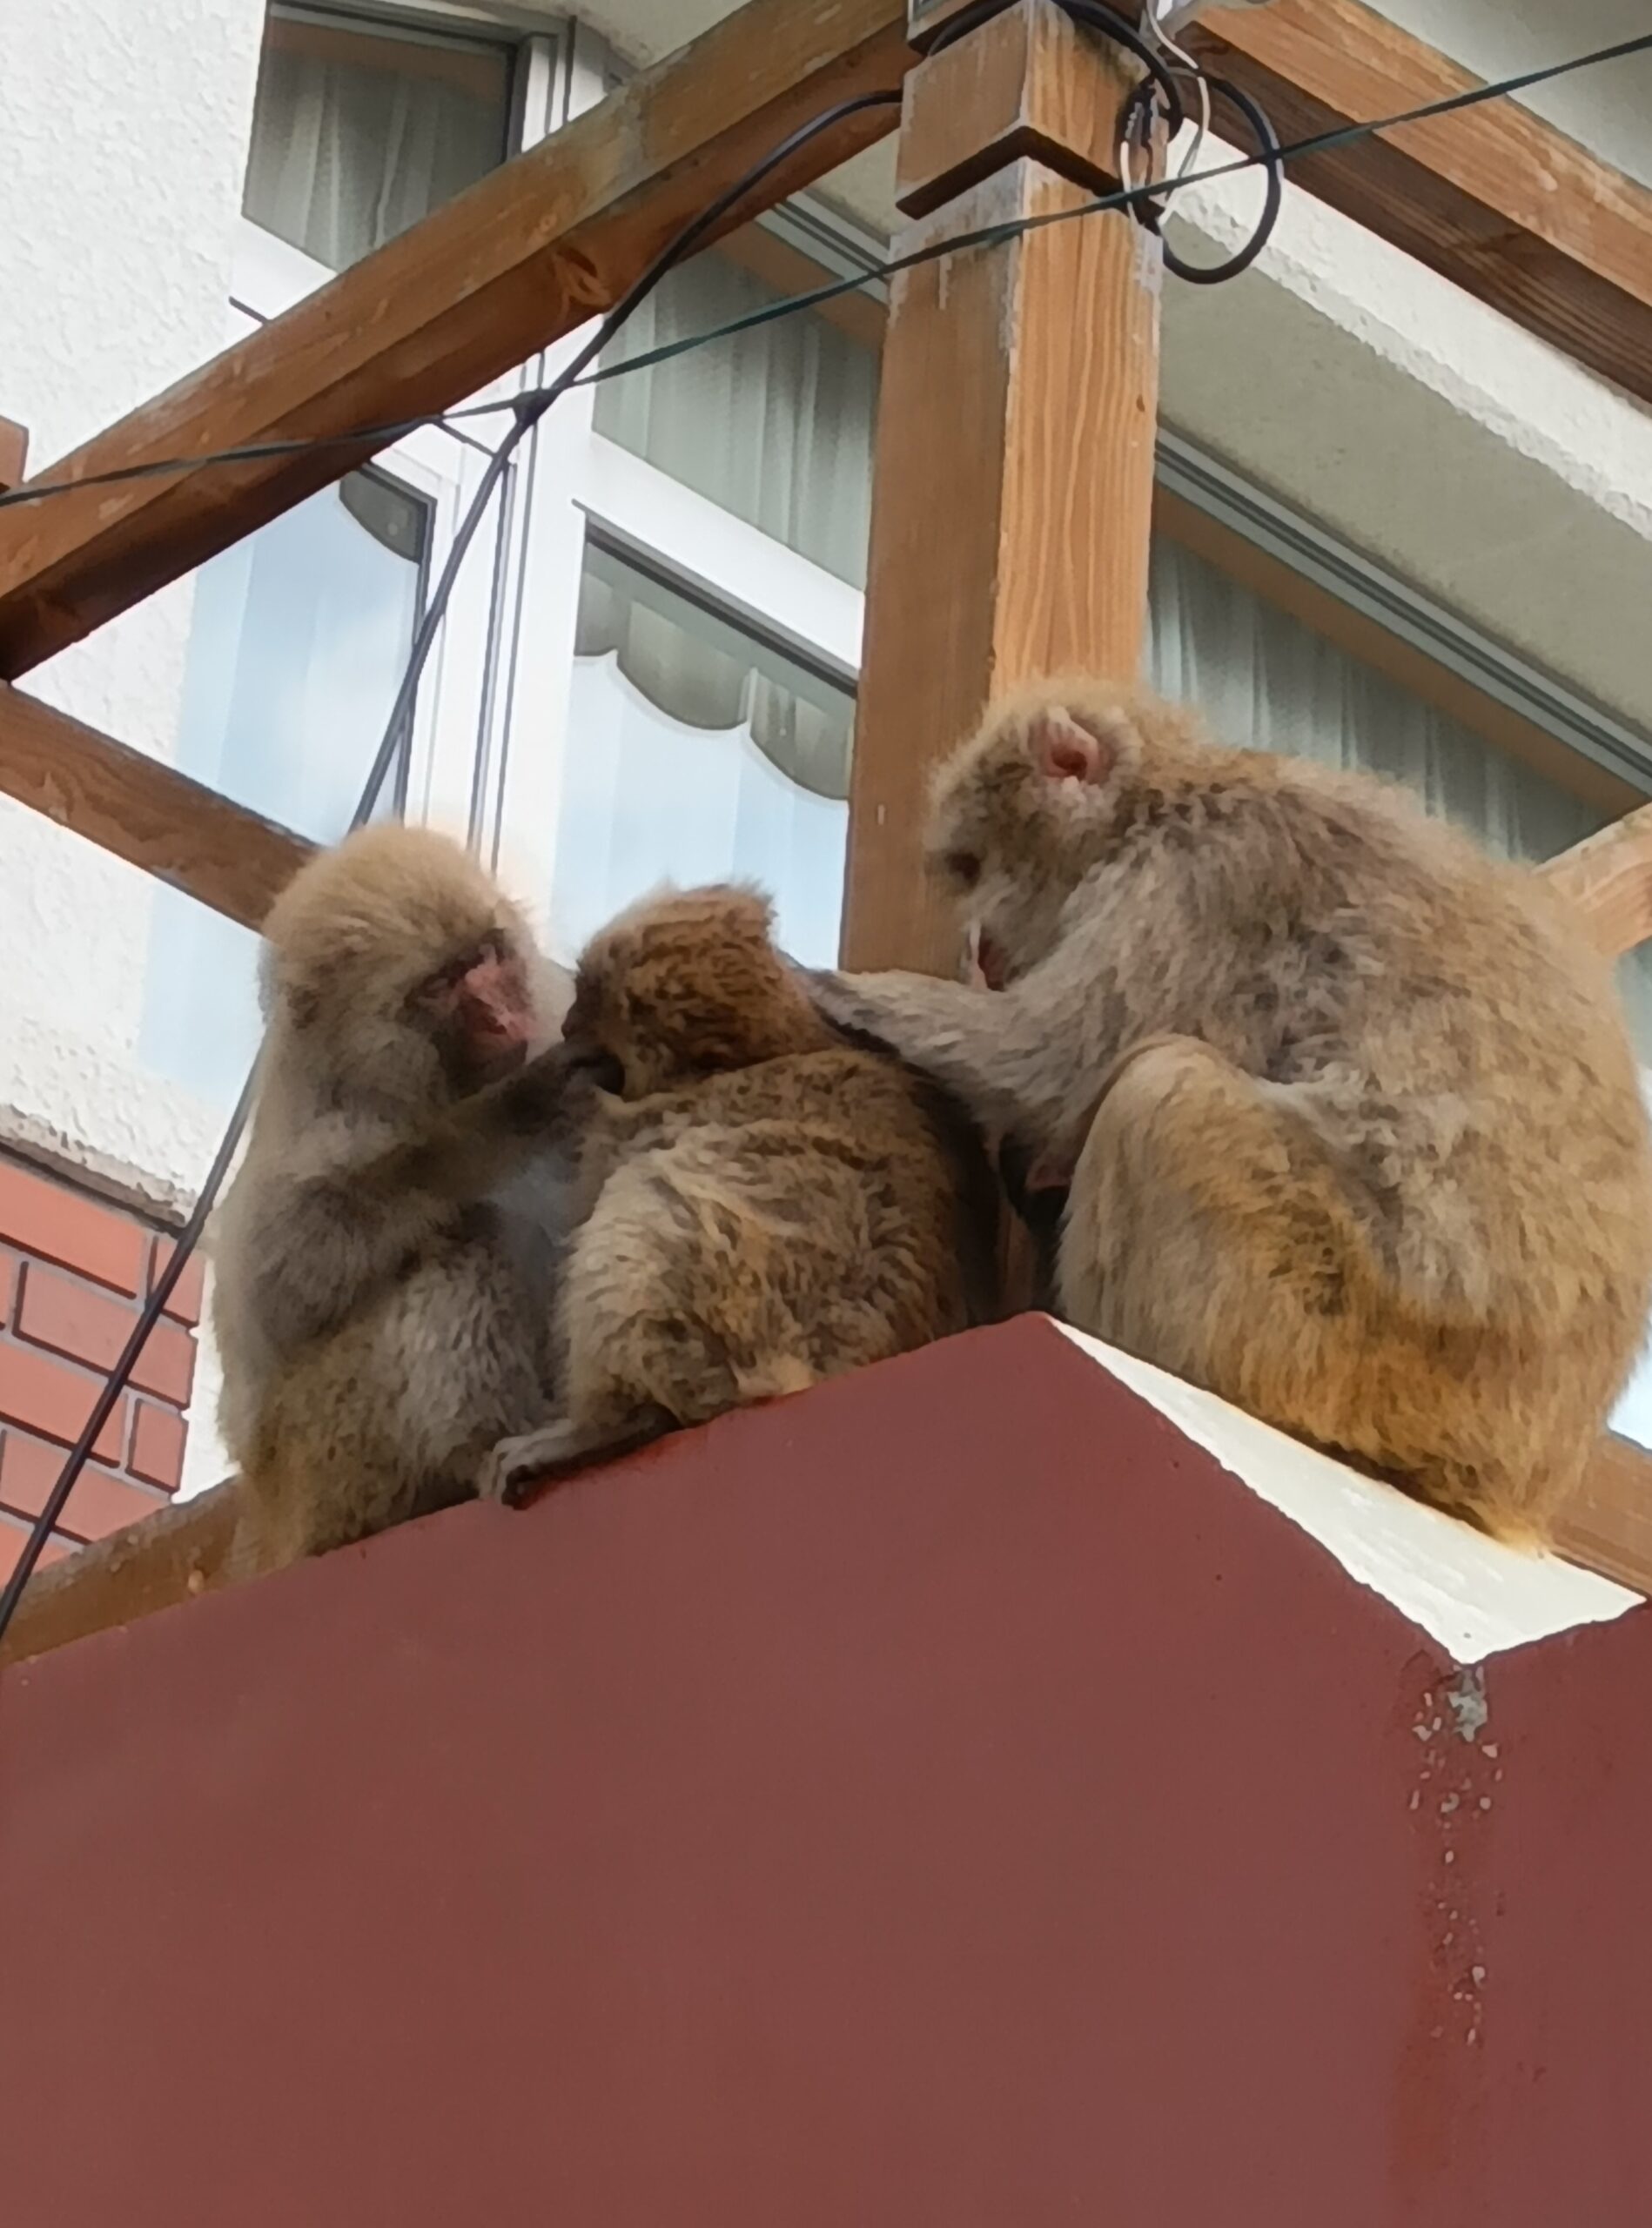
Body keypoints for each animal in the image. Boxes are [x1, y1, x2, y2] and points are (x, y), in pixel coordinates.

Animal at [211, 823, 617, 1563]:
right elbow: (275, 1292)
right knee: (454, 1244)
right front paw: (492, 1125)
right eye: (442, 985)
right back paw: (485, 1446)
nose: (502, 1014)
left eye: (486, 955)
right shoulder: (325, 1119)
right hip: (323, 1467)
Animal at [476, 883, 1004, 1503]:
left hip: (729, 1329)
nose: (567, 1028)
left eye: (591, 1007)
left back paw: (612, 1423)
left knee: (648, 1201)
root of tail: (800, 1374)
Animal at [808, 677, 1652, 1545]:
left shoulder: (1201, 878)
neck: (1164, 798)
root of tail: (1523, 1471)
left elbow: (1058, 1062)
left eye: (975, 863)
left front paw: (855, 994)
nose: (981, 942)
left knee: (1163, 1092)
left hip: (1365, 1335)